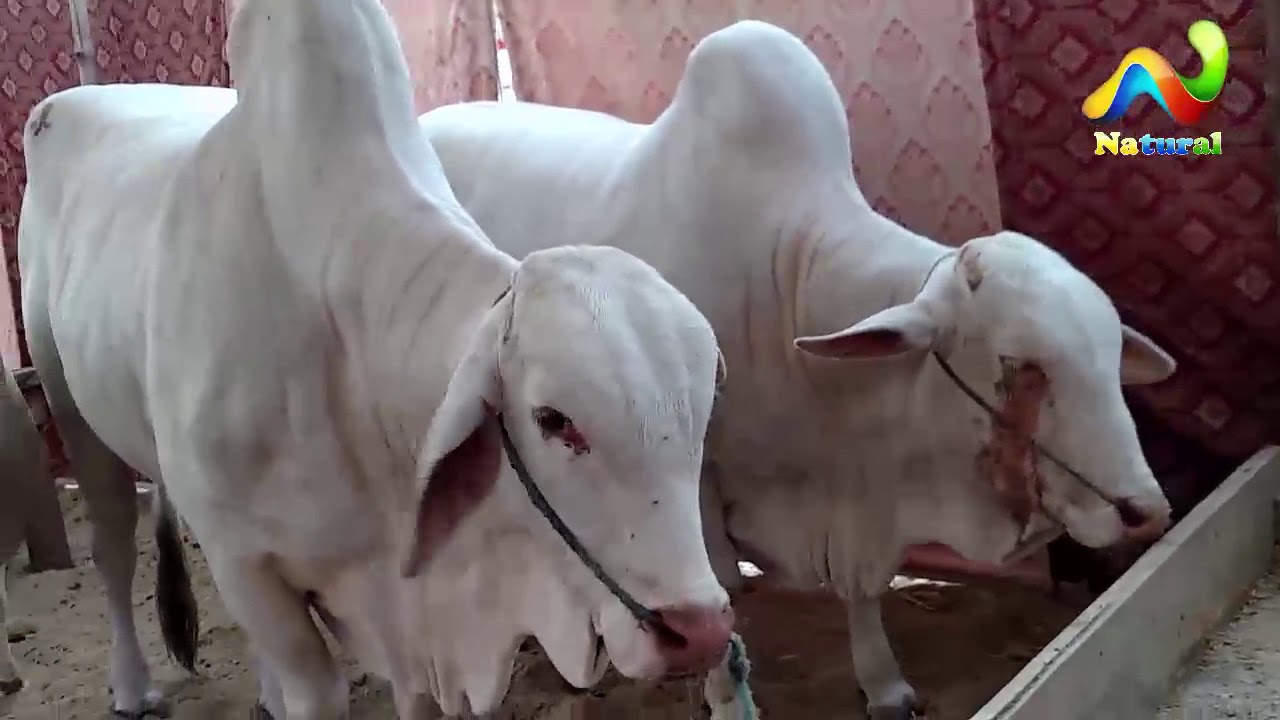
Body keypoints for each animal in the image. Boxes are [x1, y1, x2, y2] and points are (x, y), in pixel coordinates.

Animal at [16, 0, 736, 716]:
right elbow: (313, 687)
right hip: (73, 416)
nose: (698, 631)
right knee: (112, 549)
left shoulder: (407, 613)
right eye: (554, 420)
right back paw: (132, 685)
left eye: (702, 415)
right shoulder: (247, 564)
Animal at [417, 20, 1178, 719]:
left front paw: (885, 687)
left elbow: (863, 597)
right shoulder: (694, 496)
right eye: (1018, 363)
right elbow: (718, 626)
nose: (1147, 509)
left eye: (1111, 354)